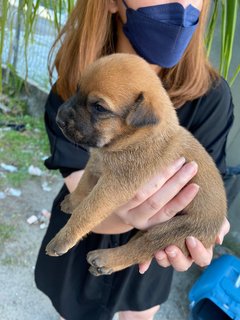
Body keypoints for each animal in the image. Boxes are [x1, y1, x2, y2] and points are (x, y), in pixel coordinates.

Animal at [46, 53, 228, 276]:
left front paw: (63, 239)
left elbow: (86, 212)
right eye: (77, 89)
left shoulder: (112, 187)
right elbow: (83, 184)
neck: (136, 138)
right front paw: (73, 201)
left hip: (173, 232)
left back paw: (106, 259)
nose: (59, 119)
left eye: (99, 107)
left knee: (141, 248)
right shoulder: (96, 163)